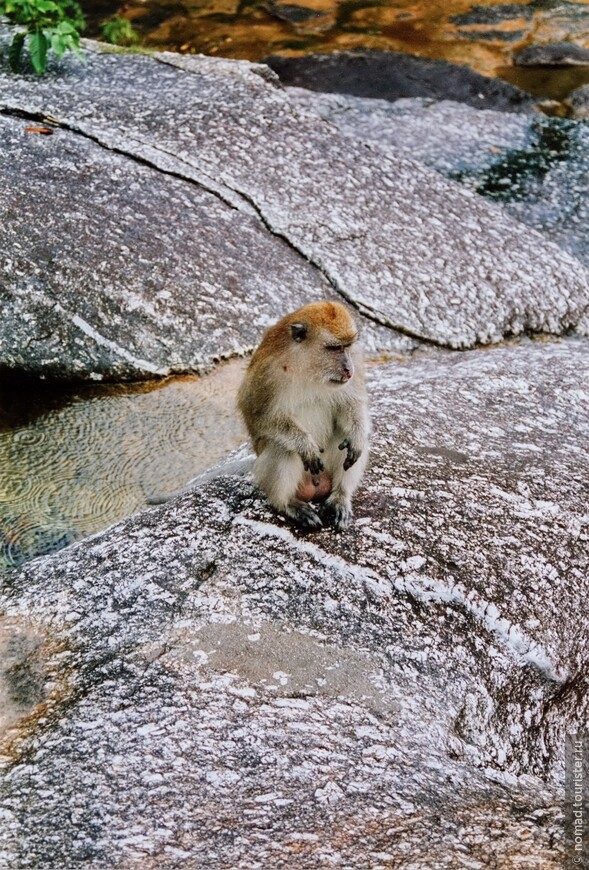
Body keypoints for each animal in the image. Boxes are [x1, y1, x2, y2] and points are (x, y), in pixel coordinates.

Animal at [237, 300, 370, 532]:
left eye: (347, 346)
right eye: (334, 348)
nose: (348, 369)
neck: (308, 368)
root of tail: (316, 487)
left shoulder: (355, 363)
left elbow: (351, 404)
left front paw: (357, 436)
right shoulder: (267, 376)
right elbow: (260, 418)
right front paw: (305, 445)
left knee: (342, 438)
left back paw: (340, 497)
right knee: (282, 447)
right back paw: (287, 503)